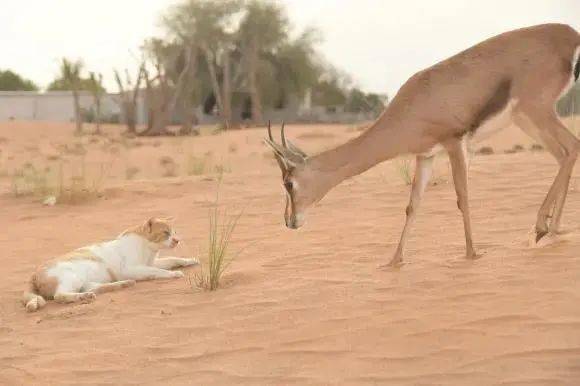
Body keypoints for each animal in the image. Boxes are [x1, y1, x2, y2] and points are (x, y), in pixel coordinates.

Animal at [22, 219, 197, 312]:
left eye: (174, 233)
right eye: (166, 233)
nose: (177, 240)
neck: (149, 250)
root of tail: (33, 274)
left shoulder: (152, 262)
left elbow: (173, 259)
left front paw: (190, 260)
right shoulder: (132, 269)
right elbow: (156, 270)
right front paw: (174, 274)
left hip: (86, 281)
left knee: (94, 288)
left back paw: (121, 285)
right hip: (73, 277)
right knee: (60, 295)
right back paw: (83, 297)